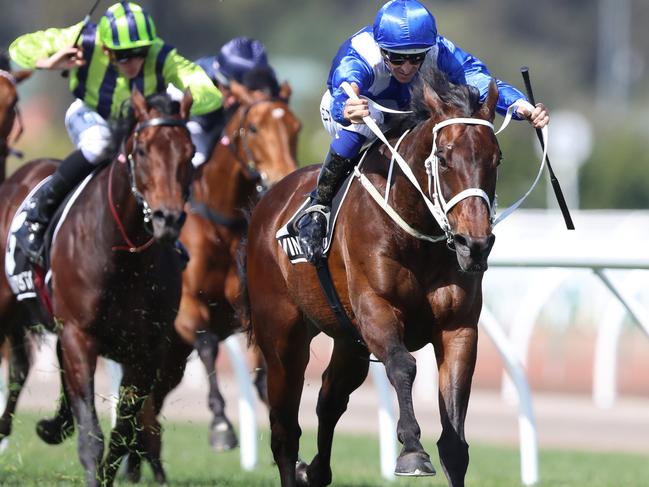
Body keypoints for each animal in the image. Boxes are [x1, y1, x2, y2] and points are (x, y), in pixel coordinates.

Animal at [0, 89, 194, 486]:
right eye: (142, 150)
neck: (123, 256)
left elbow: (124, 432)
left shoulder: (146, 352)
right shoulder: (79, 335)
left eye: (190, 152)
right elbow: (92, 433)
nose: (167, 219)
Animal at [173, 79, 302, 450]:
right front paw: (221, 426)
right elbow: (206, 344)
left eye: (296, 127)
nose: (282, 177)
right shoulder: (186, 308)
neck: (218, 224)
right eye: (255, 128)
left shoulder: (249, 306)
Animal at [243, 68, 502, 487]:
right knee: (284, 430)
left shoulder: (458, 326)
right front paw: (412, 451)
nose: (474, 244)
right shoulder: (376, 310)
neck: (418, 234)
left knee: (330, 398)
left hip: (349, 341)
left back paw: (316, 470)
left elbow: (455, 440)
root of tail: (268, 202)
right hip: (282, 338)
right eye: (443, 158)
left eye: (496, 158)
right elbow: (403, 365)